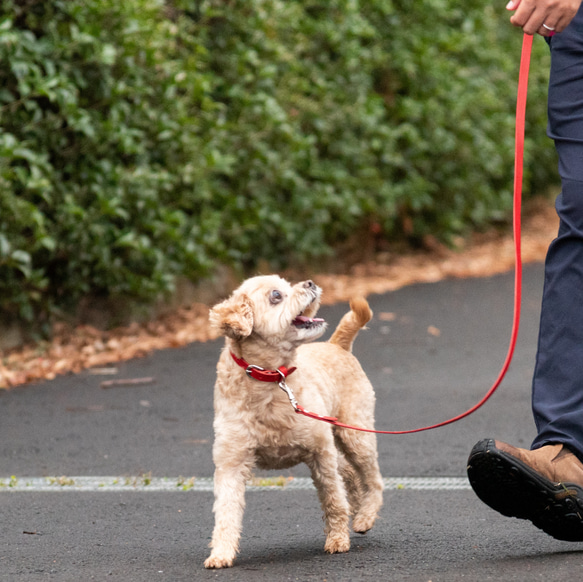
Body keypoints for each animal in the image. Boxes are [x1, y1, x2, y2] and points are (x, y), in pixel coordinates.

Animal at [204, 278, 384, 572]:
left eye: (285, 283)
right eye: (276, 295)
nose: (310, 282)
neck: (270, 379)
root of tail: (337, 345)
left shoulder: (321, 453)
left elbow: (333, 499)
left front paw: (337, 540)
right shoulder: (230, 464)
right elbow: (226, 513)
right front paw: (221, 553)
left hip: (356, 435)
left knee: (373, 479)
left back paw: (365, 516)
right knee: (350, 474)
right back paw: (358, 511)